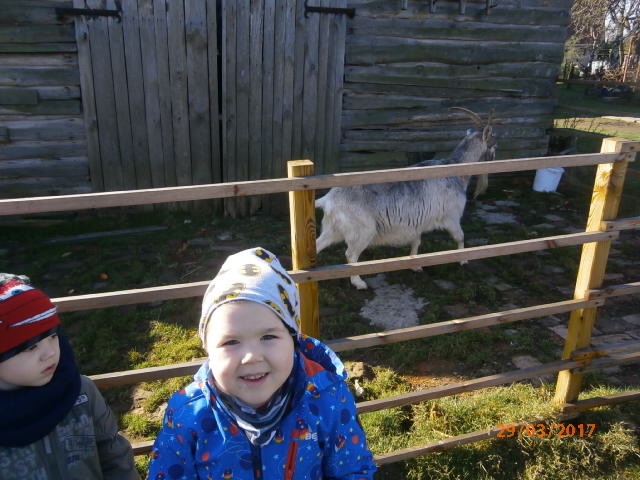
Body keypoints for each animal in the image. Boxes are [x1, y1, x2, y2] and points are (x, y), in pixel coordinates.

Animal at [315, 108, 497, 290]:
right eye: (494, 144)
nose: (494, 159)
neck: (455, 169)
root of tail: (329, 199)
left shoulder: (419, 221)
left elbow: (416, 241)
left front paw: (415, 265)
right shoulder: (451, 216)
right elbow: (460, 237)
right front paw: (464, 261)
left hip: (333, 228)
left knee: (318, 245)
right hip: (363, 230)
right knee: (351, 254)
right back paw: (359, 283)